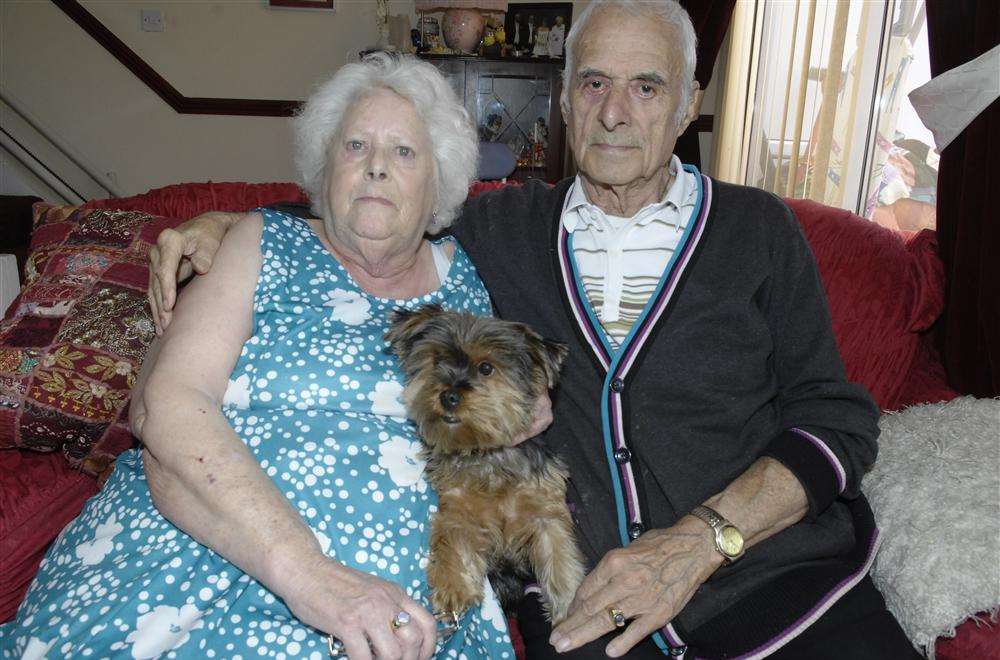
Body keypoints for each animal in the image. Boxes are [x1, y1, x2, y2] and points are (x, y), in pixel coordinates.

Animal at [382, 304, 584, 624]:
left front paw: (569, 605)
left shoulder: (544, 509)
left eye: (486, 368)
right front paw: (454, 587)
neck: (486, 455)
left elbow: (559, 553)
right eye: (437, 360)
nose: (448, 395)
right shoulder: (458, 506)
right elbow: (453, 538)